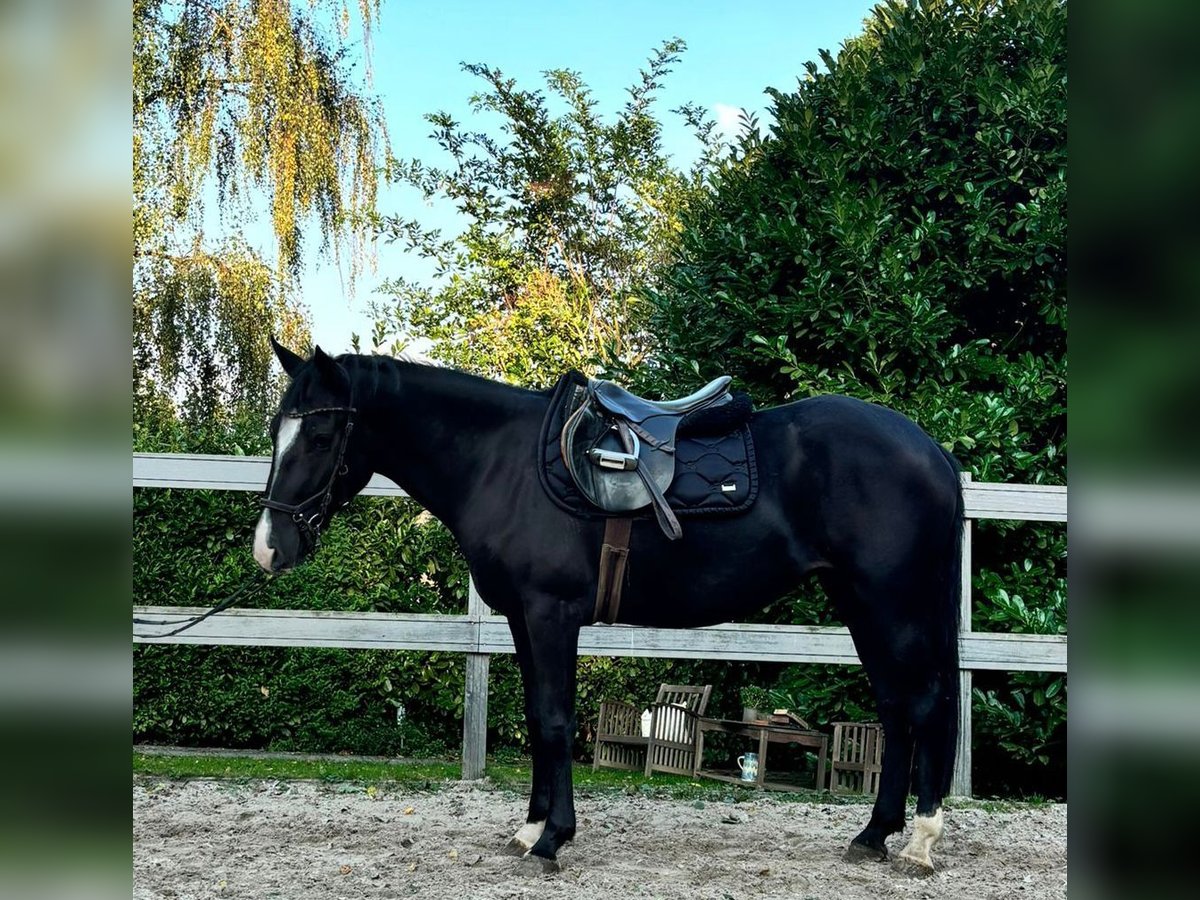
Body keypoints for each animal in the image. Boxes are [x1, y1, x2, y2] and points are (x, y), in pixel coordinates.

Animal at [253, 340, 964, 873]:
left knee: (924, 704)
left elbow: (555, 719)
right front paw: (529, 828)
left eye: (321, 433)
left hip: (892, 602)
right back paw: (873, 835)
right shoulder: (522, 619)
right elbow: (538, 719)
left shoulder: (551, 614)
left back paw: (921, 842)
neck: (501, 463)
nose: (270, 546)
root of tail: (932, 451)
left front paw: (551, 839)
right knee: (894, 706)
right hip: (861, 603)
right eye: (276, 429)